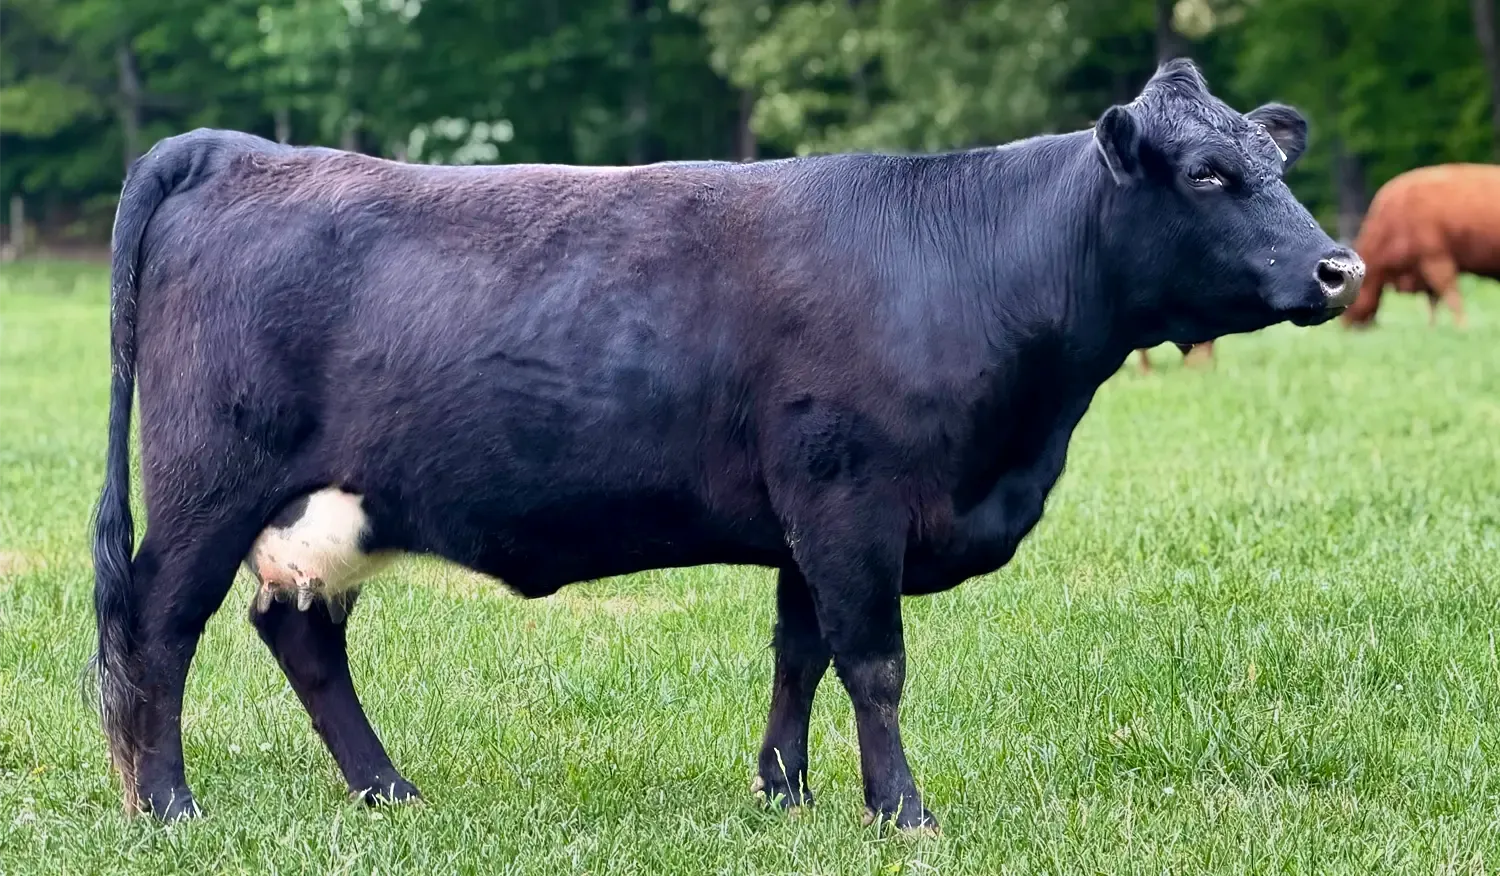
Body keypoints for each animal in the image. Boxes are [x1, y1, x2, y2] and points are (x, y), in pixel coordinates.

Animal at [89, 58, 1363, 831]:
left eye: (1278, 164)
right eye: (1208, 173)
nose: (1337, 267)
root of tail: (239, 149)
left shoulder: (809, 520)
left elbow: (799, 656)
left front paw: (785, 795)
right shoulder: (851, 503)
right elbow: (874, 662)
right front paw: (903, 811)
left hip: (325, 508)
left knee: (302, 636)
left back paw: (388, 791)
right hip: (207, 490)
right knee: (157, 630)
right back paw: (169, 805)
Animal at [1342, 162, 1500, 328]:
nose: (1344, 323)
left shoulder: (1437, 260)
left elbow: (1451, 297)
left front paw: (1461, 326)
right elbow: (1433, 302)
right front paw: (1432, 328)